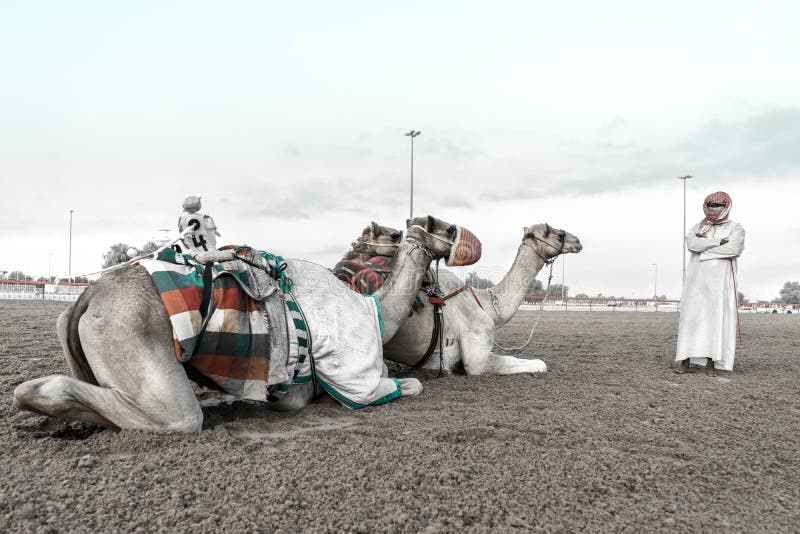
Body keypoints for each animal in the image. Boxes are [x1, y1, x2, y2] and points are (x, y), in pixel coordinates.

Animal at [10, 216, 462, 434]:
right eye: (435, 224)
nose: (457, 230)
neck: (372, 309)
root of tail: (87, 297)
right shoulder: (357, 382)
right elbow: (410, 385)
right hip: (138, 349)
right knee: (174, 415)